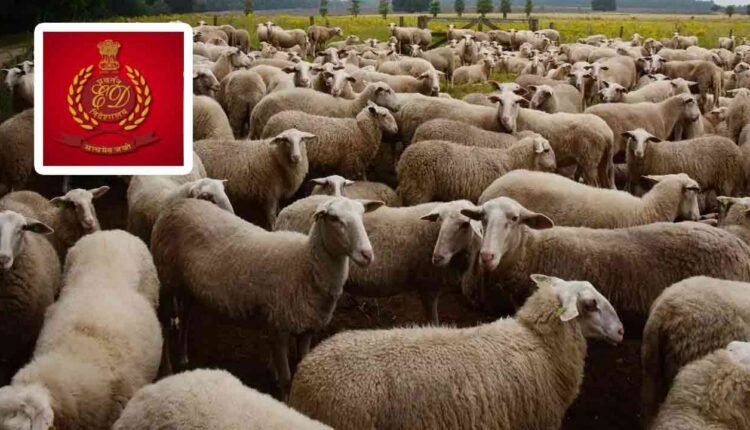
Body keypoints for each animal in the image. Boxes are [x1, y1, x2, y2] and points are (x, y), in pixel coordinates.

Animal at [152, 197, 378, 399]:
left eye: (362, 214)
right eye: (334, 218)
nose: (367, 254)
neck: (305, 264)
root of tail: (178, 203)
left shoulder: (307, 327)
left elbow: (301, 364)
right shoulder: (279, 326)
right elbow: (286, 379)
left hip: (188, 284)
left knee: (186, 316)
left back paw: (183, 356)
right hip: (166, 277)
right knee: (165, 325)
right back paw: (168, 368)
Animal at [261, 102, 398, 180]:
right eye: (384, 115)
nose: (396, 129)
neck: (361, 131)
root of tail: (269, 123)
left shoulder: (358, 164)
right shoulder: (349, 164)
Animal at [275, 197, 483, 324]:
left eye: (464, 224)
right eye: (440, 221)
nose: (437, 257)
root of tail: (284, 213)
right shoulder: (428, 284)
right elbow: (433, 319)